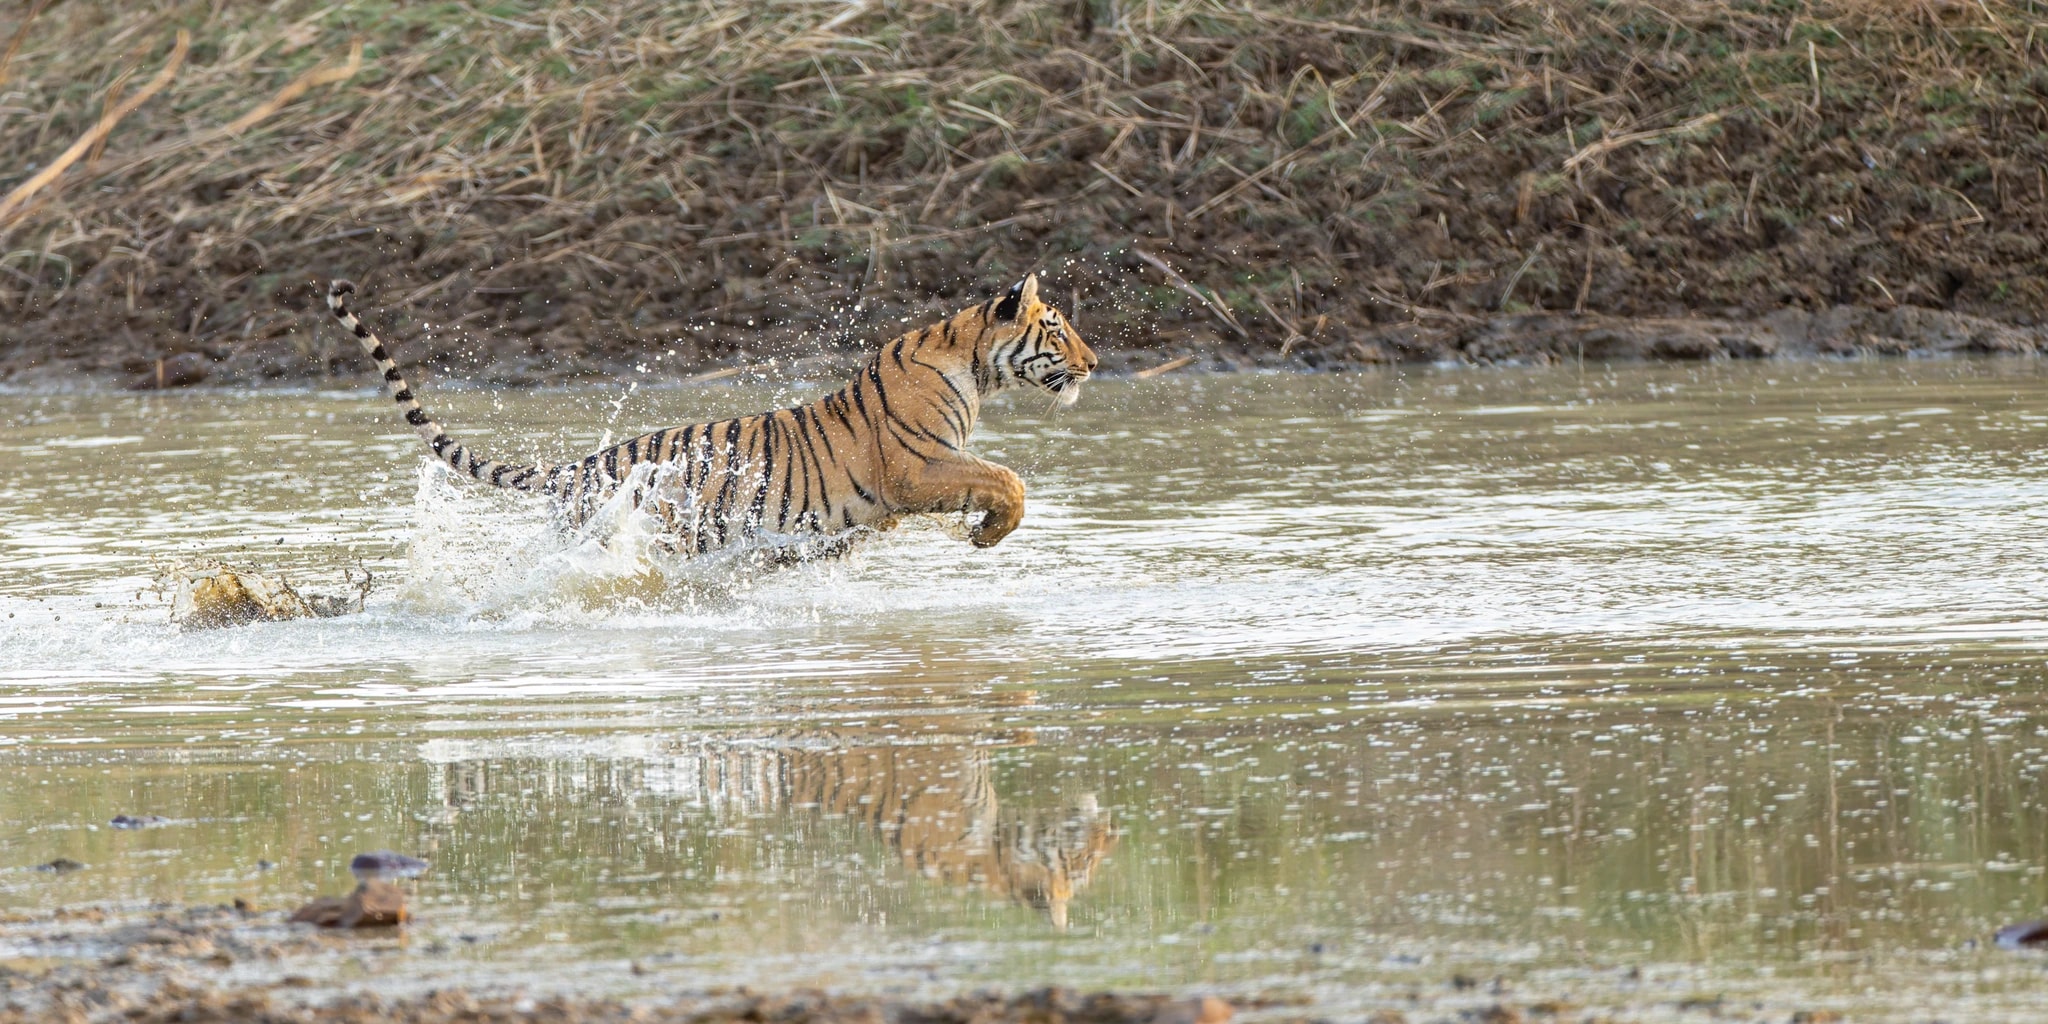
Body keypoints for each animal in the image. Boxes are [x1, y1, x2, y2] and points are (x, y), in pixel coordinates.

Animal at [325, 274, 1097, 553]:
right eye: (1057, 329)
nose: (1093, 363)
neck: (973, 363)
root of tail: (578, 466)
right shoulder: (920, 466)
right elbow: (1007, 479)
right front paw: (989, 534)